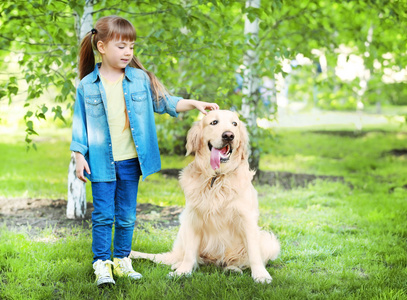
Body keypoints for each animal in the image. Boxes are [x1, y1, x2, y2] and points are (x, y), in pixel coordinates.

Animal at [131, 110, 280, 284]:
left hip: (269, 241)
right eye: (214, 122)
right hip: (183, 227)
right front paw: (183, 271)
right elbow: (190, 254)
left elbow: (254, 253)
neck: (216, 178)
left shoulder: (247, 218)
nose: (229, 135)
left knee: (238, 261)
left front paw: (261, 275)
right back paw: (178, 265)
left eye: (234, 124)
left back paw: (233, 269)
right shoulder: (193, 217)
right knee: (188, 257)